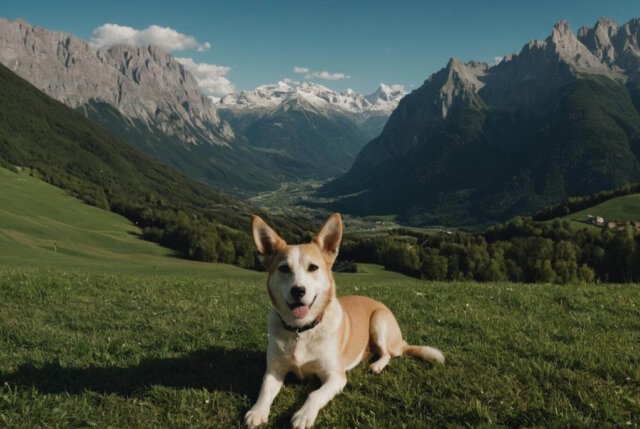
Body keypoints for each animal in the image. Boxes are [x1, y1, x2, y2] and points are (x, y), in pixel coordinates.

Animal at [245, 212, 444, 426]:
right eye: (283, 268)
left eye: (313, 267)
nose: (298, 291)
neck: (302, 329)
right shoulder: (274, 370)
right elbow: (265, 389)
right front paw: (257, 411)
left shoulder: (336, 377)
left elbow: (314, 395)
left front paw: (303, 415)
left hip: (379, 321)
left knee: (389, 354)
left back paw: (376, 365)